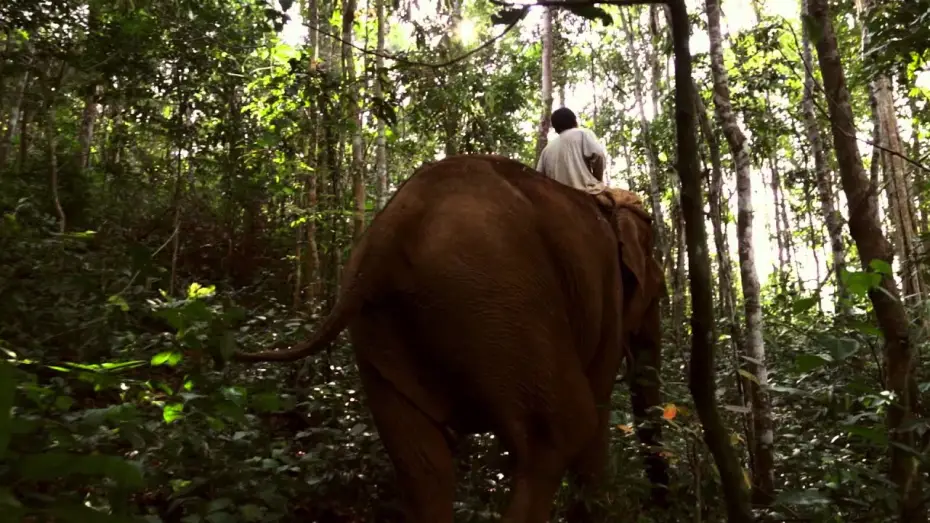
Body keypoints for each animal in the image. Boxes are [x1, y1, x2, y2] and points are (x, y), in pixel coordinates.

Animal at [234, 154, 669, 523]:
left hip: (387, 332)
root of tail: (388, 235)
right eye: (658, 289)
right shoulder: (607, 299)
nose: (661, 501)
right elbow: (596, 413)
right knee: (561, 431)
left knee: (422, 464)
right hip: (500, 297)